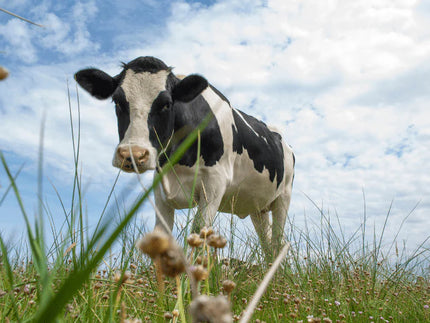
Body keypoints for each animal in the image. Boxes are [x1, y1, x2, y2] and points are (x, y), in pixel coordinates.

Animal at [74, 57, 296, 260]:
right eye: (117, 101)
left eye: (166, 104)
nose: (133, 154)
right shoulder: (161, 187)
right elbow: (161, 233)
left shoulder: (214, 183)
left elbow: (199, 231)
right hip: (258, 207)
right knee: (266, 242)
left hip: (283, 196)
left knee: (278, 240)